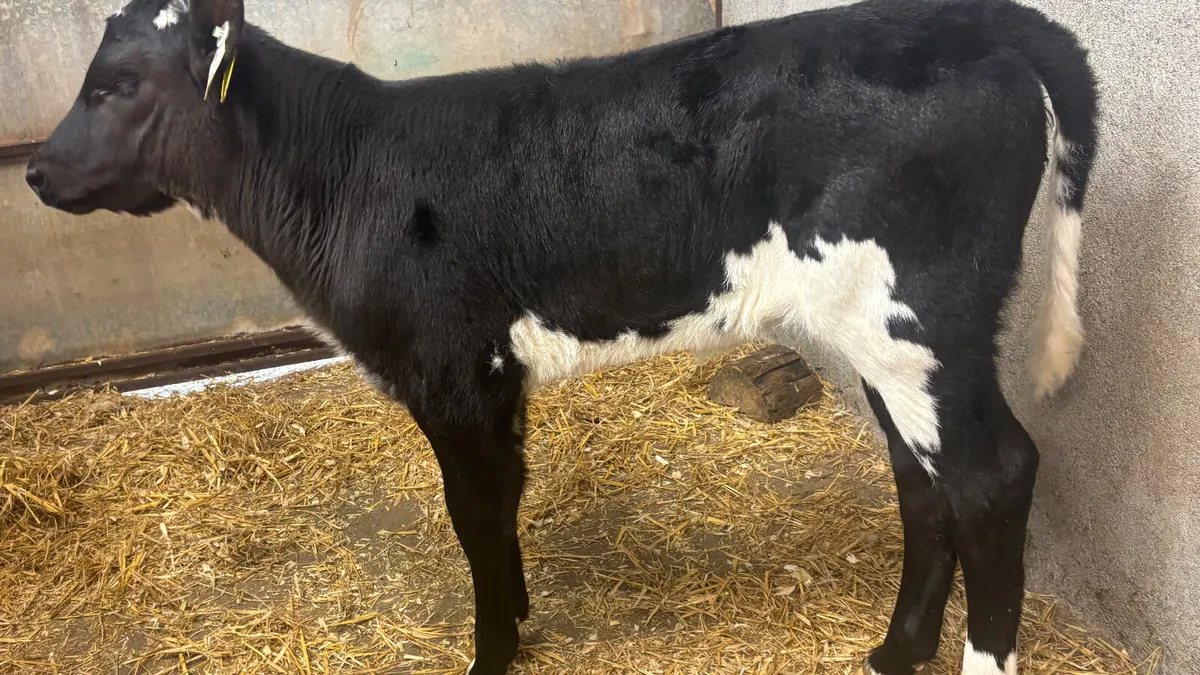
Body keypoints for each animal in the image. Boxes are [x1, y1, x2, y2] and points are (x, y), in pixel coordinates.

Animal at [25, 0, 1099, 673]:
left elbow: (474, 514)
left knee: (992, 474)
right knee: (923, 478)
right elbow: (501, 505)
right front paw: (519, 621)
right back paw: (893, 652)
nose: (34, 170)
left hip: (923, 314)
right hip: (888, 336)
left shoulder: (451, 371)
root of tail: (964, 19)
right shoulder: (494, 380)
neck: (344, 171)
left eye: (117, 85)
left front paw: (491, 652)